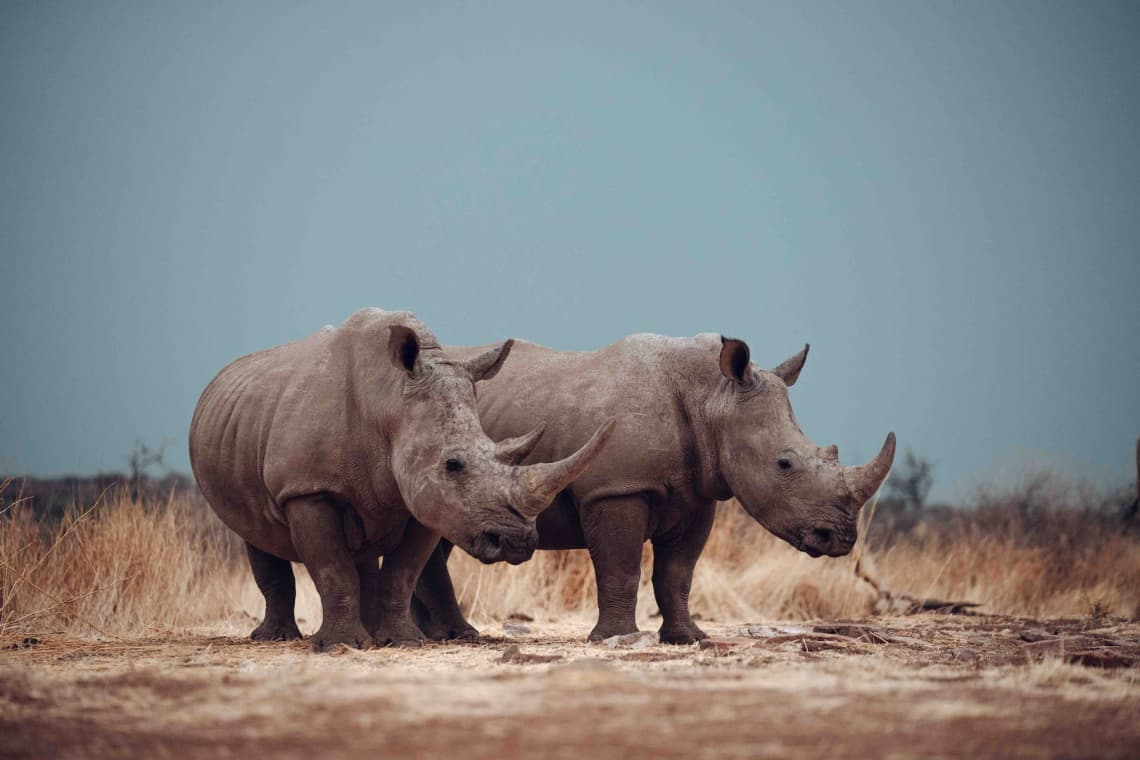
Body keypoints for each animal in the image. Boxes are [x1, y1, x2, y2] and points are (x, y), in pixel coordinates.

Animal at [189, 309, 614, 651]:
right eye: (453, 464)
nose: (519, 542)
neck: (390, 403)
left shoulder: (428, 499)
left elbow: (401, 573)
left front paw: (402, 641)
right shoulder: (307, 489)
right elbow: (332, 566)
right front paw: (341, 646)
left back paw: (368, 632)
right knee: (255, 532)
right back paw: (278, 639)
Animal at [412, 333, 895, 644]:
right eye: (784, 463)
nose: (840, 539)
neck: (712, 395)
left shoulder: (699, 496)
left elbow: (677, 573)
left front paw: (689, 638)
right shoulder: (616, 489)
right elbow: (622, 566)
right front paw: (619, 639)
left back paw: (434, 635)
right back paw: (457, 636)